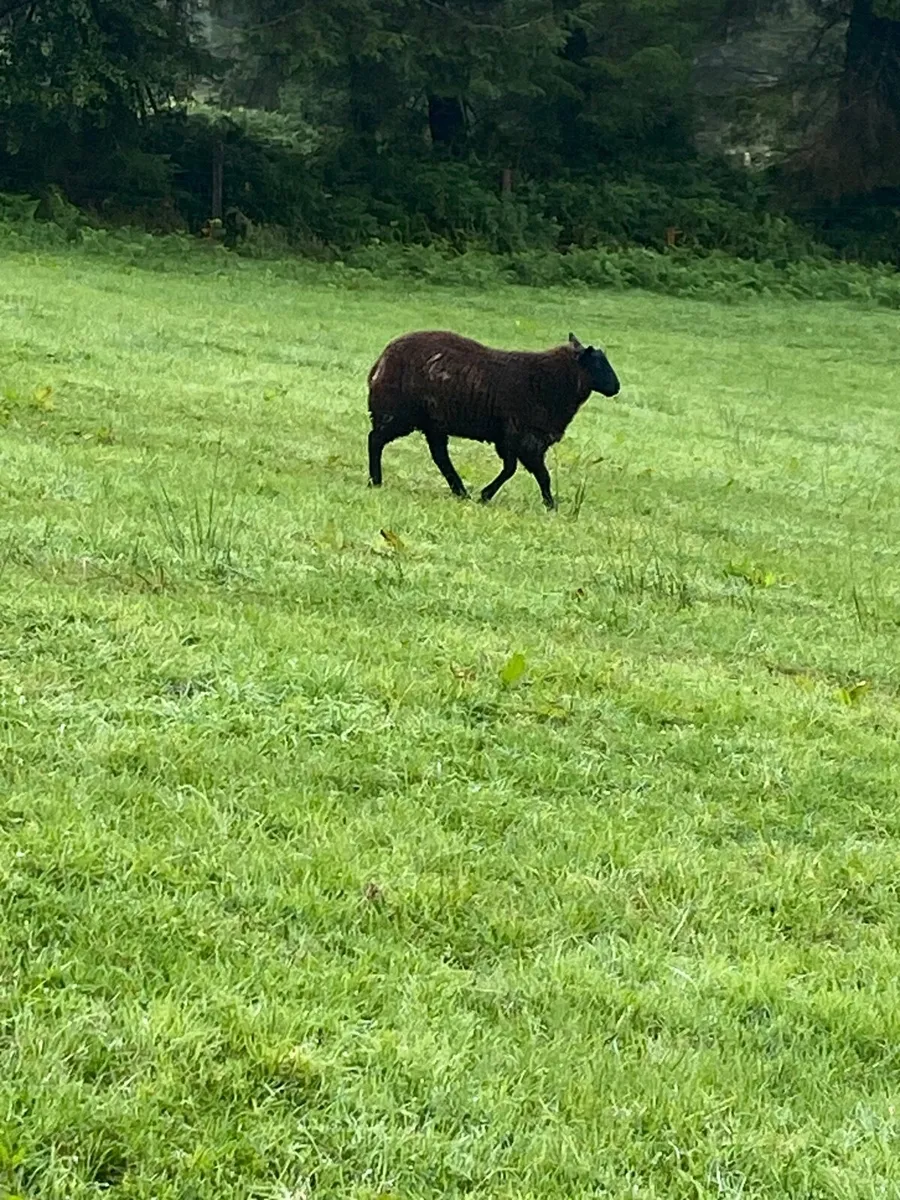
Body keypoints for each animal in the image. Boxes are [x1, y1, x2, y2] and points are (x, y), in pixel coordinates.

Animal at [366, 330, 620, 509]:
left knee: (440, 457)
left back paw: (460, 491)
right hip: (398, 413)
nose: (616, 388)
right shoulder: (526, 438)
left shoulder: (509, 439)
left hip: (431, 423)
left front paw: (485, 495)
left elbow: (511, 469)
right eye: (598, 364)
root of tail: (381, 360)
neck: (550, 381)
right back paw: (375, 481)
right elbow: (541, 475)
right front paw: (550, 505)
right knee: (375, 440)